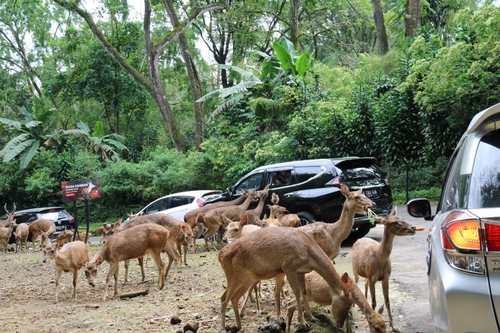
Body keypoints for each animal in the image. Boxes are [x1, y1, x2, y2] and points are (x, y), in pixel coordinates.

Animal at [219, 227, 356, 330]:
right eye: (348, 306)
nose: (340, 324)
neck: (308, 250)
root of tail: (220, 255)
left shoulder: (301, 271)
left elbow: (303, 291)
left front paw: (311, 317)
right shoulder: (289, 267)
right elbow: (296, 292)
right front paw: (303, 322)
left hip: (246, 279)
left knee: (232, 298)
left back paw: (239, 326)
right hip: (234, 277)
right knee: (224, 299)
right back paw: (224, 327)